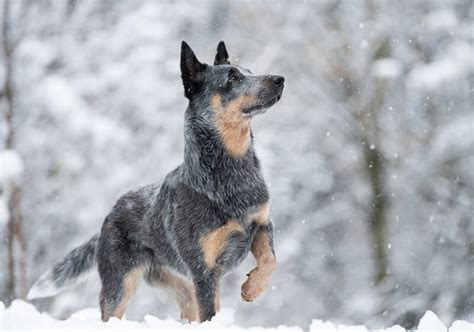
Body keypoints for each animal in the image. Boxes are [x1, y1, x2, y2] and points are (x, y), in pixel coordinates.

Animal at [28, 40, 286, 322]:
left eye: (250, 70)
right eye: (233, 77)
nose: (280, 79)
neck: (231, 175)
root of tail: (110, 213)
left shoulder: (262, 224)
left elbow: (271, 260)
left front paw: (253, 287)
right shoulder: (204, 272)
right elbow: (210, 313)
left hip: (178, 284)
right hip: (121, 284)